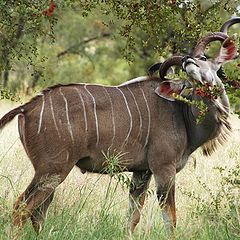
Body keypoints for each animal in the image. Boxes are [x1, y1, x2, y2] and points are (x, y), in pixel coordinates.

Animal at [0, 19, 239, 236]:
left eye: (204, 59)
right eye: (188, 69)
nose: (188, 60)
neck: (182, 112)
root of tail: (27, 107)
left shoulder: (142, 172)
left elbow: (133, 217)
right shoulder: (164, 169)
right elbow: (170, 220)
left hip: (49, 173)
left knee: (38, 213)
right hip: (53, 170)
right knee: (21, 209)